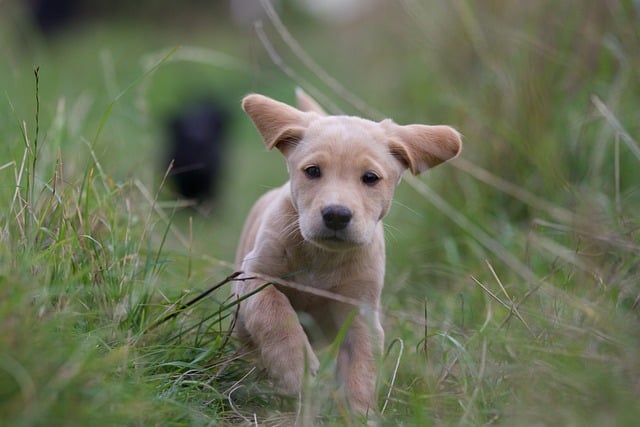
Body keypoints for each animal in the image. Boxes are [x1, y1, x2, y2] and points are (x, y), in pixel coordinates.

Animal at [232, 89, 462, 414]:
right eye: (313, 171)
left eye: (370, 178)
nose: (336, 215)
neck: (322, 257)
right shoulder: (253, 276)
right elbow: (273, 309)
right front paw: (295, 368)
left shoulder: (360, 313)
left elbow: (361, 367)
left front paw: (359, 413)